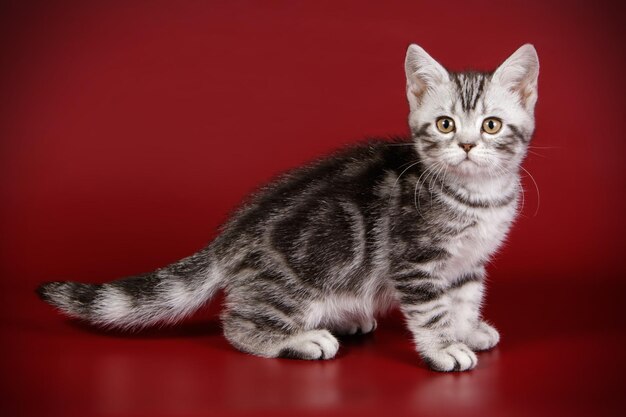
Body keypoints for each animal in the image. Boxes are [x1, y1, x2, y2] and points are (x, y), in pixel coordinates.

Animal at [37, 44, 536, 370]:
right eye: (445, 124)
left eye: (491, 125)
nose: (467, 145)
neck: (478, 194)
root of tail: (229, 238)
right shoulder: (414, 261)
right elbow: (432, 311)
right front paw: (444, 347)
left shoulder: (468, 262)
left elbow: (465, 298)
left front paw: (466, 329)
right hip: (292, 287)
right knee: (237, 324)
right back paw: (301, 341)